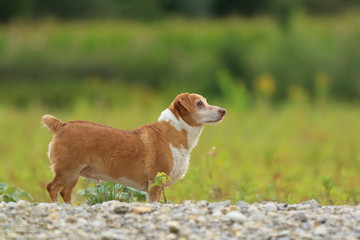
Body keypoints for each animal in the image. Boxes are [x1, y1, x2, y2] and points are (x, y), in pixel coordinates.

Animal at [42, 93, 225, 203]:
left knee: (65, 192)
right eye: (199, 103)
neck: (171, 134)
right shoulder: (154, 184)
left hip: (73, 174)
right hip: (67, 171)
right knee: (52, 188)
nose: (223, 110)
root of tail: (61, 126)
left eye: (206, 101)